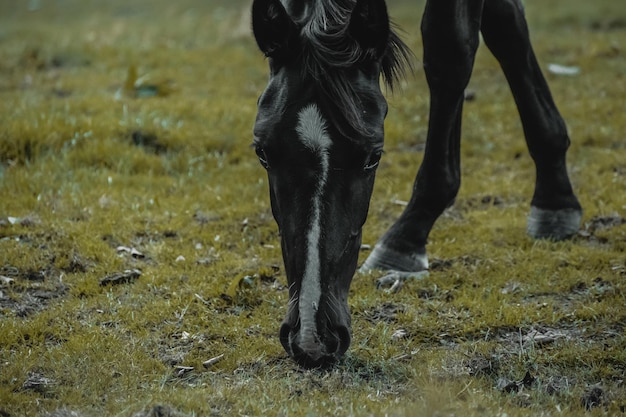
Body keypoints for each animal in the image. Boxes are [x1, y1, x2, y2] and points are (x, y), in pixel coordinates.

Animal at [250, 0, 580, 366]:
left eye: (373, 156)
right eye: (262, 152)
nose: (313, 339)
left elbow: (449, 52)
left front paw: (407, 238)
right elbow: (505, 24)